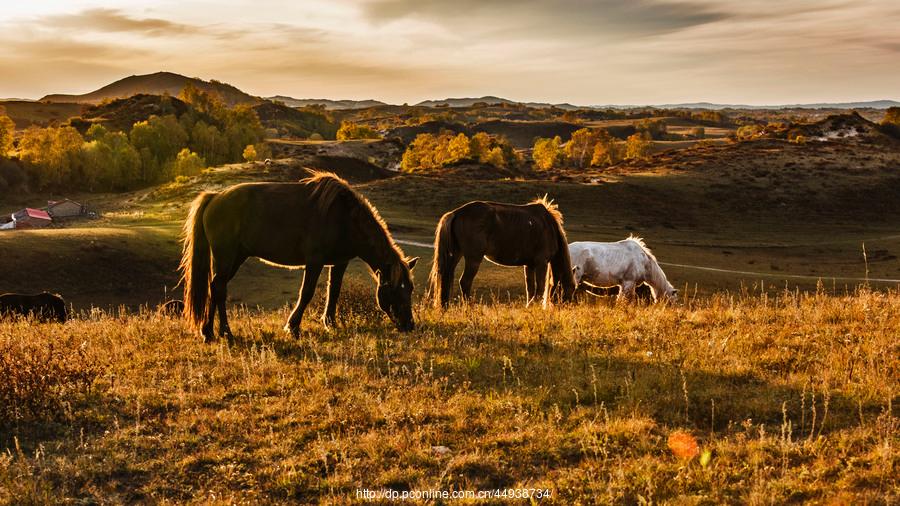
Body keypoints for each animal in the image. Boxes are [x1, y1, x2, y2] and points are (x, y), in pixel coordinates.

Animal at [183, 172, 422, 342]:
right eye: (394, 289)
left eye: (410, 288)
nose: (409, 324)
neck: (344, 217)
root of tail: (214, 197)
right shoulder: (314, 262)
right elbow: (306, 293)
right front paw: (293, 327)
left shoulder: (339, 263)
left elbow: (334, 291)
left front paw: (331, 323)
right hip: (227, 258)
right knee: (219, 289)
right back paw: (223, 332)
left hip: (234, 258)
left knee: (216, 288)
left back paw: (210, 333)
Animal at [428, 198, 576, 308]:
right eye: (571, 290)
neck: (549, 226)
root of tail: (457, 212)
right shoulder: (541, 263)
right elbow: (539, 288)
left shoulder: (529, 265)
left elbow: (530, 288)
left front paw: (529, 306)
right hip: (473, 258)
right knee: (464, 282)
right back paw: (469, 308)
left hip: (455, 255)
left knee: (446, 279)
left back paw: (444, 307)